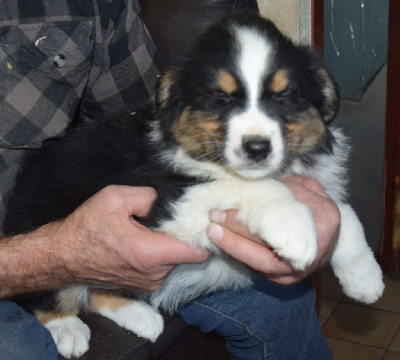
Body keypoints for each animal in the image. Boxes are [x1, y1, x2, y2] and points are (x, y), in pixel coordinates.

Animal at [2, 12, 384, 358]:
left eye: (285, 96)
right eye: (220, 97)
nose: (257, 148)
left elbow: (342, 212)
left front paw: (365, 279)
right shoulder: (166, 203)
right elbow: (255, 187)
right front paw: (295, 229)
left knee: (98, 287)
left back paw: (141, 317)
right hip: (46, 215)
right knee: (47, 290)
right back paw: (67, 329)